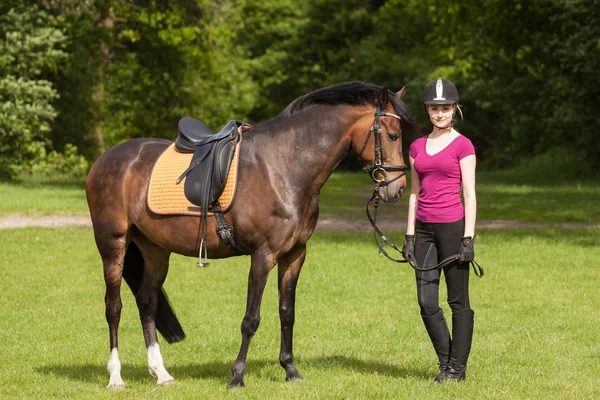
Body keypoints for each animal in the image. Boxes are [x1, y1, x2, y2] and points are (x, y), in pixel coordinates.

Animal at [85, 81, 418, 388]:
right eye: (392, 135)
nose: (398, 189)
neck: (284, 167)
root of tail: (105, 159)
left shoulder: (294, 255)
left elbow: (287, 312)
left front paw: (291, 371)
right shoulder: (263, 255)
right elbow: (251, 318)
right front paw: (237, 377)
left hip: (155, 249)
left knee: (147, 302)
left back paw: (162, 373)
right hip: (112, 245)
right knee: (114, 306)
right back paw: (115, 377)